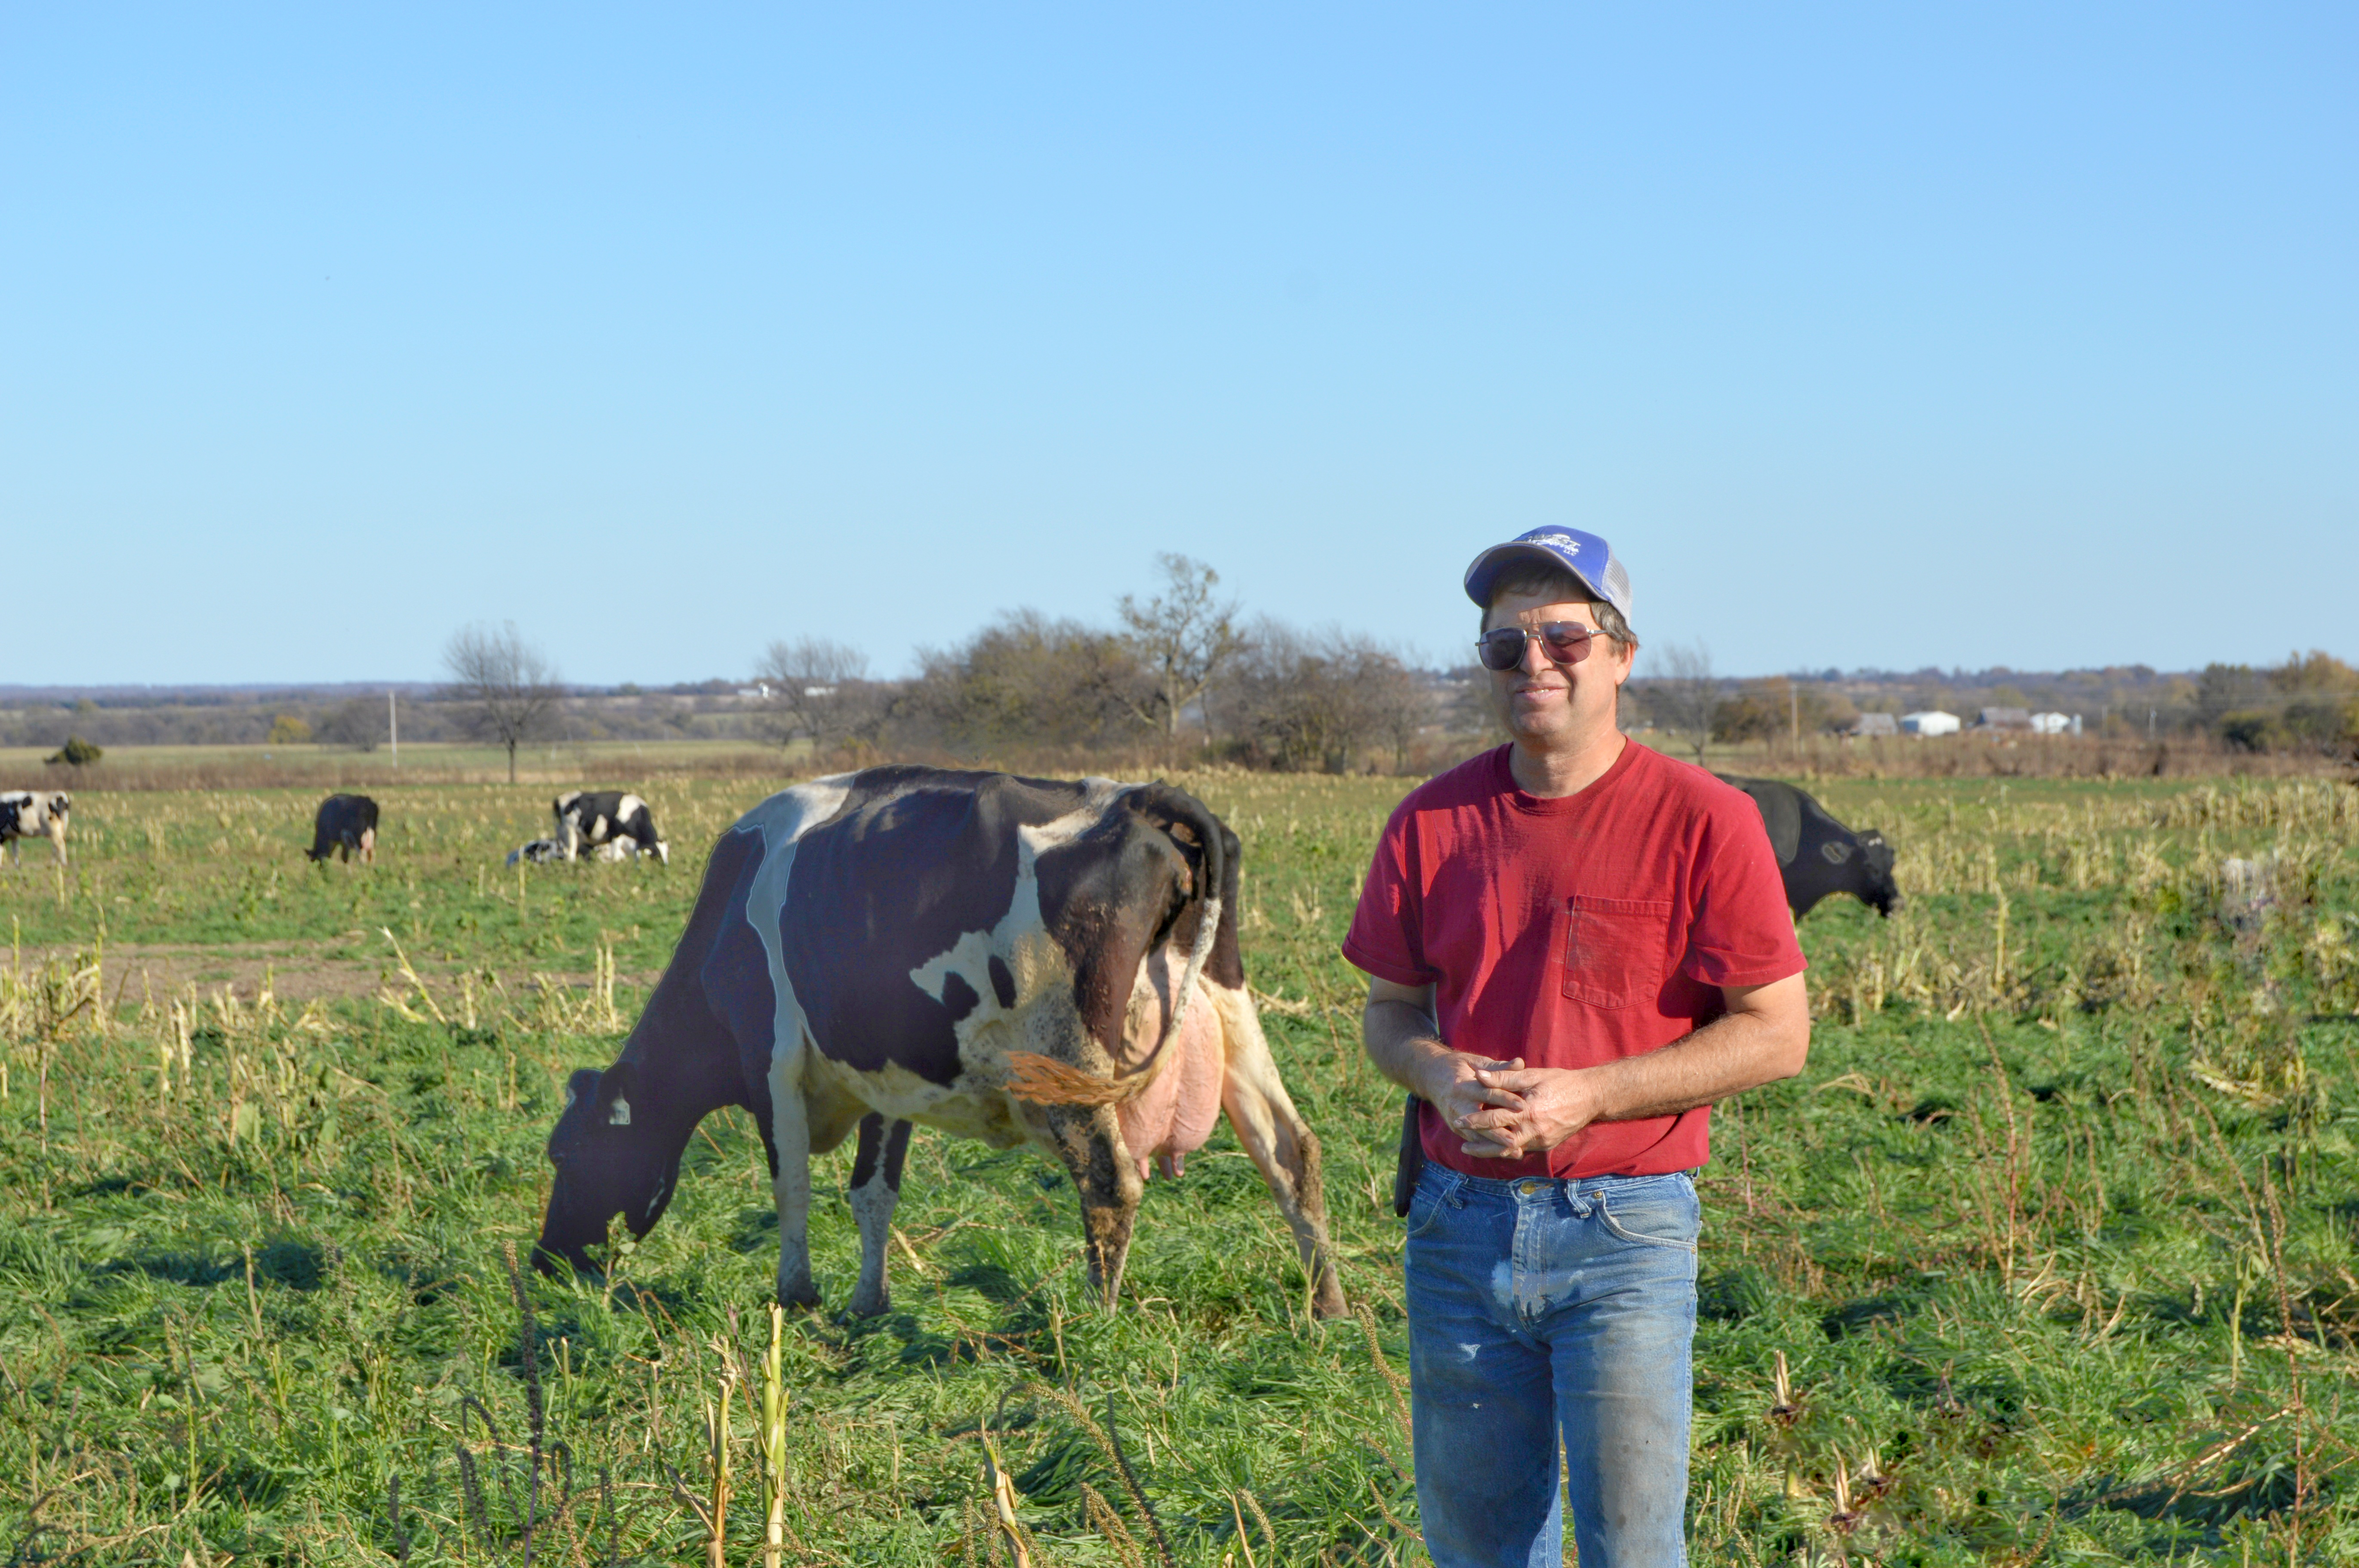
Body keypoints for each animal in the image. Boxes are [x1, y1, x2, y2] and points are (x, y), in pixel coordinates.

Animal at [0, 797, 71, 867]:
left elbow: (2, 851)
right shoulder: (14, 835)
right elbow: (15, 850)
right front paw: (17, 866)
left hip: (54, 831)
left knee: (60, 845)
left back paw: (63, 864)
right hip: (57, 832)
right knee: (56, 846)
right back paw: (53, 865)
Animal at [314, 787, 382, 863]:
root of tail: (367, 802)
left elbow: (344, 856)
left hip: (358, 836)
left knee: (362, 853)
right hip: (373, 833)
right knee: (372, 853)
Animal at [549, 787, 665, 863]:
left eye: (667, 854)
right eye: (657, 855)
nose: (665, 868)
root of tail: (559, 798)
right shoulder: (616, 835)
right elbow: (617, 857)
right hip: (569, 833)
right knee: (570, 856)